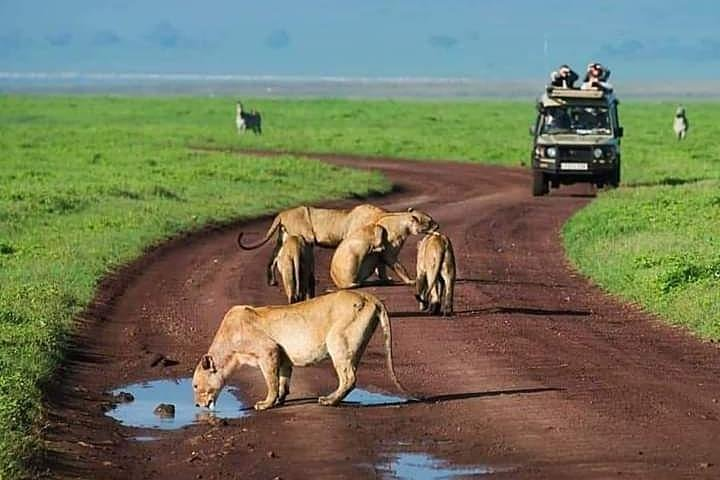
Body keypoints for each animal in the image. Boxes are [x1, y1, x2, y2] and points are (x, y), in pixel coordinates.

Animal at [192, 290, 409, 411]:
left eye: (195, 386)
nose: (196, 405)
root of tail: (368, 296)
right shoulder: (282, 355)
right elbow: (282, 380)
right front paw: (279, 401)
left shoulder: (268, 351)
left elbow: (271, 381)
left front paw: (265, 404)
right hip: (354, 344)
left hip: (338, 340)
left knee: (349, 378)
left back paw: (329, 401)